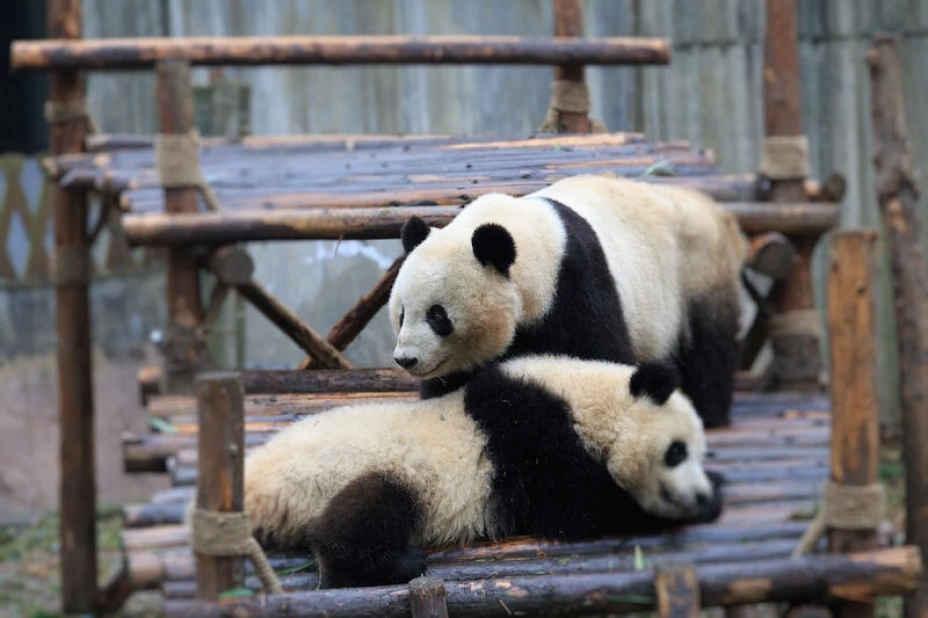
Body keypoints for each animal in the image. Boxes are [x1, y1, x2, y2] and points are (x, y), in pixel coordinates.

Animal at [244, 354, 723, 589]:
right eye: (676, 452)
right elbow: (578, 505)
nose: (697, 495)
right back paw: (392, 563)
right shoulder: (529, 437)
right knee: (368, 509)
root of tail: (257, 483)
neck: (584, 399)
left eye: (697, 453)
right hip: (342, 475)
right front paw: (699, 508)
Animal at [389, 173, 747, 428]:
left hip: (697, 270)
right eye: (402, 313)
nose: (406, 359)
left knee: (708, 346)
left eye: (438, 315)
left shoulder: (575, 286)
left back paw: (708, 411)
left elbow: (597, 356)